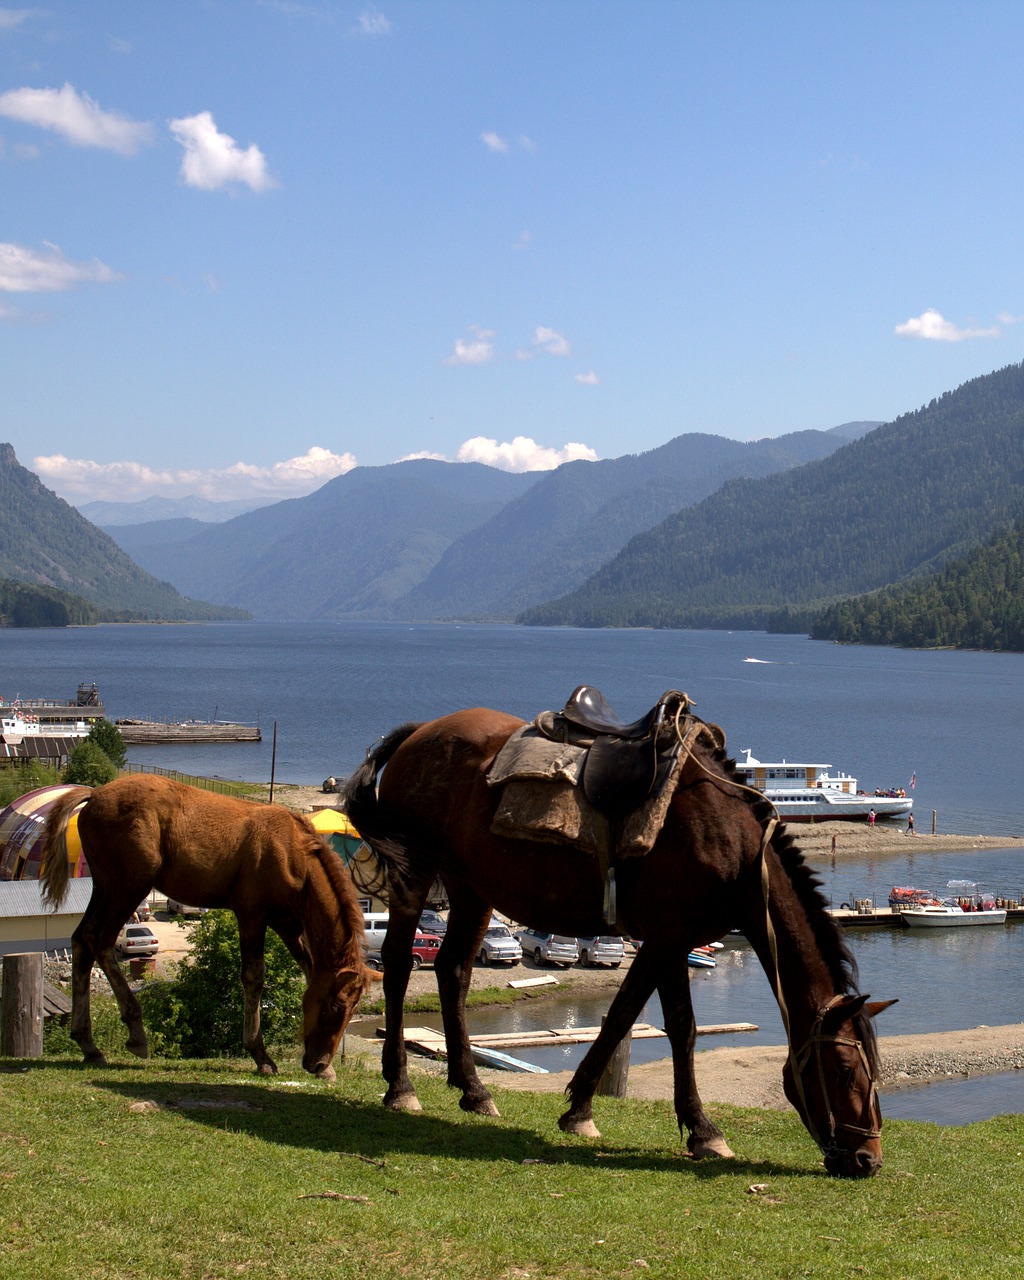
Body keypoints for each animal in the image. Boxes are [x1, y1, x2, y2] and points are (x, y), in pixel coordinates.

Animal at [44, 773, 373, 1075]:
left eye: (353, 1010)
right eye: (335, 1006)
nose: (318, 1063)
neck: (294, 855)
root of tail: (94, 794)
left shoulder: (287, 924)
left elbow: (308, 969)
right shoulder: (251, 914)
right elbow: (254, 977)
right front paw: (260, 1055)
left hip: (104, 887)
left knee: (81, 940)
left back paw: (88, 1044)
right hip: (128, 886)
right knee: (98, 938)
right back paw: (136, 1034)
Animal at [343, 691, 896, 1177]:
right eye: (845, 1069)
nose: (867, 1159)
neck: (732, 843)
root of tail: (421, 733)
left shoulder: (662, 942)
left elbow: (620, 1016)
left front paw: (579, 1111)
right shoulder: (671, 937)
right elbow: (681, 1028)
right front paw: (703, 1131)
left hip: (471, 888)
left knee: (452, 970)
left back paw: (474, 1091)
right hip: (416, 876)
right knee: (399, 966)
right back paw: (400, 1087)